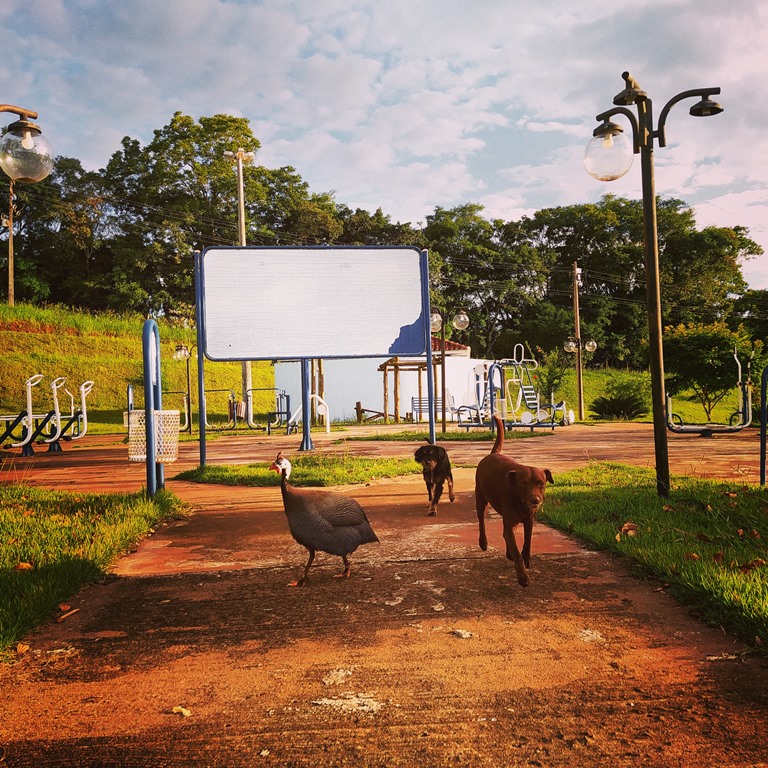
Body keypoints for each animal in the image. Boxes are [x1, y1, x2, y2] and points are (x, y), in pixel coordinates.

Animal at [474, 416, 552, 584]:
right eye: (523, 483)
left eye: (541, 483)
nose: (535, 500)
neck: (519, 500)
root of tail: (492, 454)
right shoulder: (511, 523)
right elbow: (516, 551)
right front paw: (523, 576)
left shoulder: (529, 520)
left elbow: (527, 540)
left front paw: (526, 558)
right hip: (480, 498)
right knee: (481, 521)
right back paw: (483, 542)